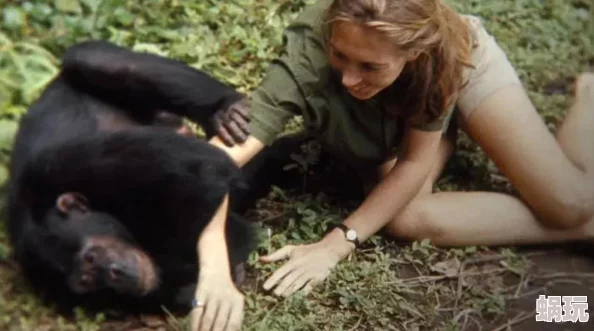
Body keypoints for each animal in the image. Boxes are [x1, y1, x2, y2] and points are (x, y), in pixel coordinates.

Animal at [1, 40, 276, 316]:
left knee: (93, 59)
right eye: (87, 281)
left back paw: (225, 110)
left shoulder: (66, 165)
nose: (116, 274)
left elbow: (200, 173)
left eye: (91, 256)